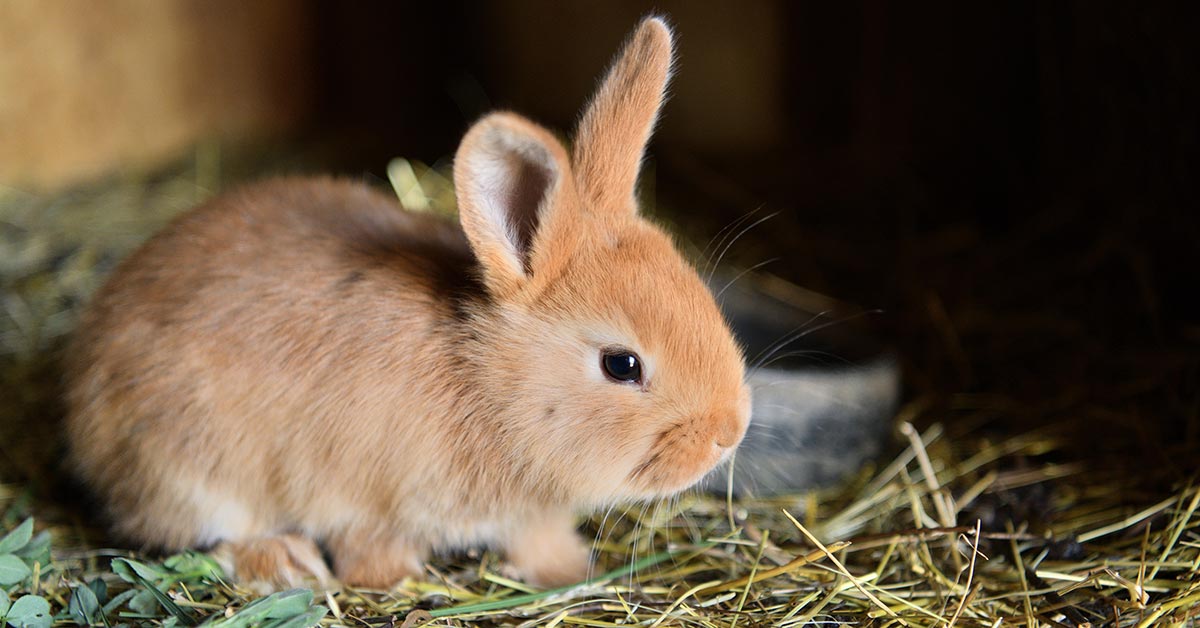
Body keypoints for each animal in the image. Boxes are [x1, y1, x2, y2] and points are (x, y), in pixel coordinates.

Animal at [65, 17, 748, 593]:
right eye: (621, 365)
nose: (728, 434)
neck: (492, 386)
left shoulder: (528, 515)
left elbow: (538, 540)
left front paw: (567, 572)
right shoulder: (360, 499)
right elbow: (368, 544)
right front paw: (390, 580)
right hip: (188, 470)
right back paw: (284, 562)